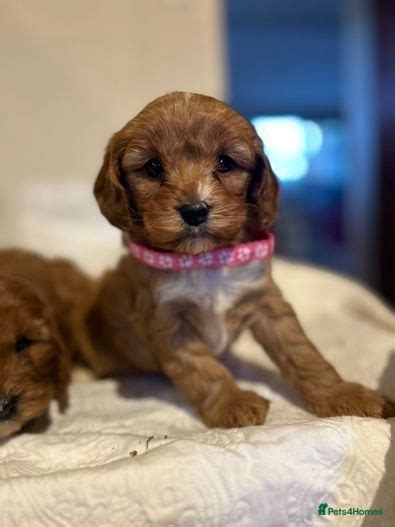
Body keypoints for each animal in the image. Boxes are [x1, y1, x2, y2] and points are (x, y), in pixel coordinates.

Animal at [76, 92, 394, 428]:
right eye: (152, 167)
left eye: (225, 163)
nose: (194, 210)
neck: (206, 260)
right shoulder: (167, 322)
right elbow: (203, 370)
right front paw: (232, 403)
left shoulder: (265, 302)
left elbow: (302, 352)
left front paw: (343, 395)